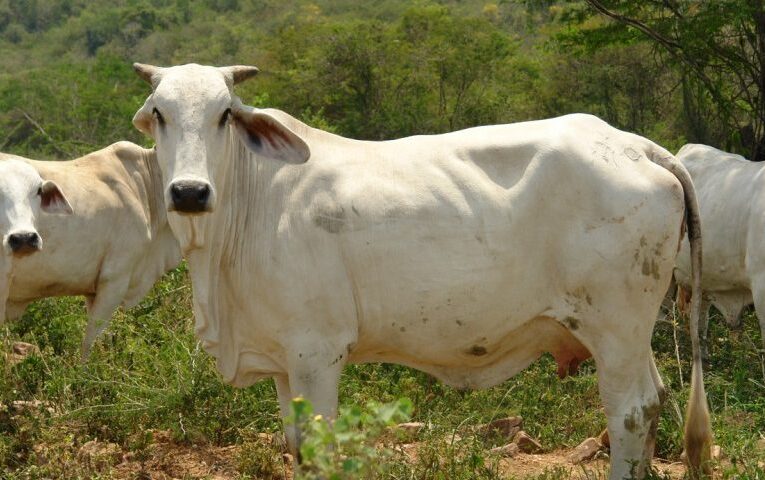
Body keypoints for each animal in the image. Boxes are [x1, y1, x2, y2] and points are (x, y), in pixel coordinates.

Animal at [130, 63, 712, 480]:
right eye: (159, 113)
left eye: (225, 114)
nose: (188, 192)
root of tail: (637, 146)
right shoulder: (280, 360)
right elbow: (295, 447)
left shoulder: (317, 351)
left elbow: (319, 448)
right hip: (631, 335)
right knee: (656, 399)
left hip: (615, 327)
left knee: (631, 411)